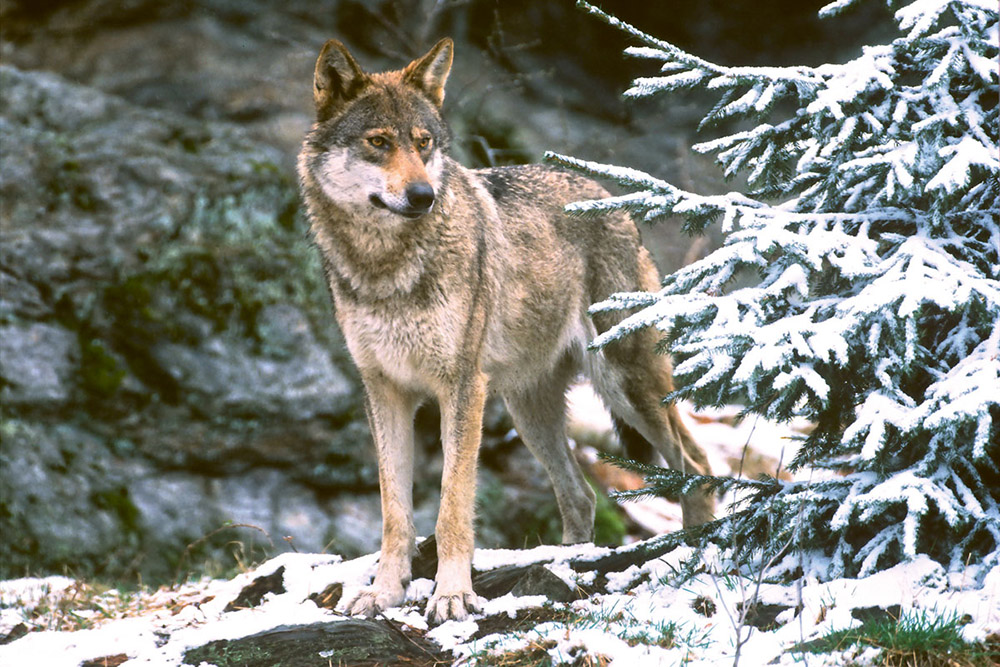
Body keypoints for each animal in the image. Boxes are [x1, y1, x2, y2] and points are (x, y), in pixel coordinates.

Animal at [292, 37, 716, 628]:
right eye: (378, 143)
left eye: (423, 143)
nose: (422, 195)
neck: (386, 266)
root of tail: (609, 198)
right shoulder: (384, 390)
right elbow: (394, 512)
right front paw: (384, 593)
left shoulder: (462, 388)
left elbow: (451, 505)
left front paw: (451, 596)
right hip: (528, 412)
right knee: (582, 496)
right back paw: (568, 563)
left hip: (627, 388)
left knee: (696, 465)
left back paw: (695, 550)